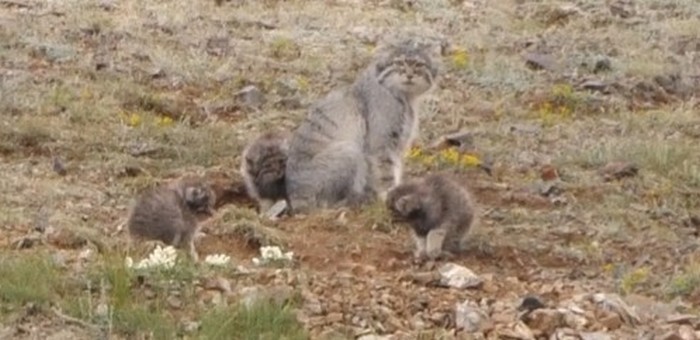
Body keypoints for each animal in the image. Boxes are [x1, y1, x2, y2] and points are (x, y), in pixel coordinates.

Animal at [284, 39, 438, 214]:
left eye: (419, 64)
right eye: (399, 63)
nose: (410, 75)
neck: (404, 97)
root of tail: (295, 198)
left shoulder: (398, 145)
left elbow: (396, 169)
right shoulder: (381, 144)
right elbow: (386, 173)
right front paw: (388, 195)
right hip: (349, 151)